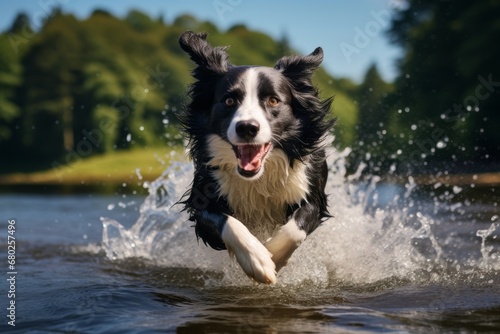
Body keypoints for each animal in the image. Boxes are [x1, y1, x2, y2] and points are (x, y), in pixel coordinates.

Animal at [178, 31, 334, 284]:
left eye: (273, 100)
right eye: (229, 100)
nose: (247, 128)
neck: (259, 176)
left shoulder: (313, 191)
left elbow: (296, 228)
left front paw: (274, 256)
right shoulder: (201, 200)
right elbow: (226, 222)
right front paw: (259, 260)